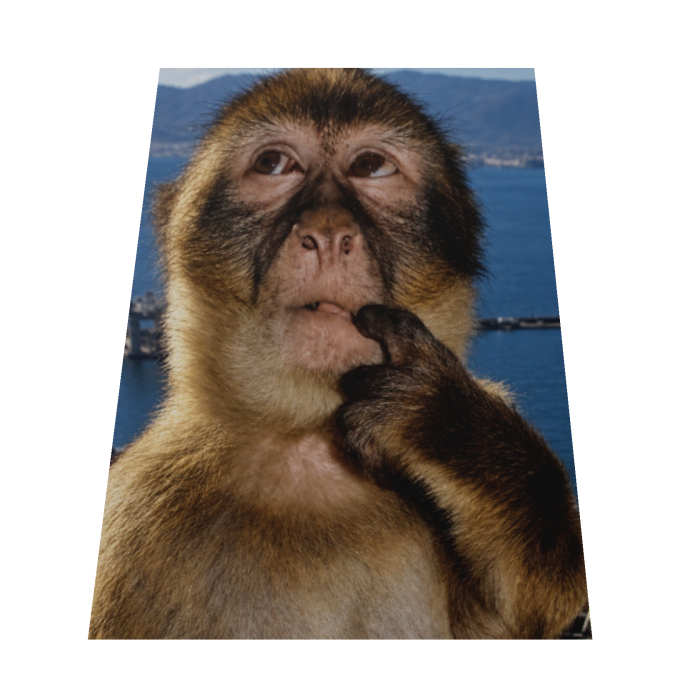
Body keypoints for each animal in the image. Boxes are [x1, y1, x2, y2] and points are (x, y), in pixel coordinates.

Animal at [91, 67, 587, 640]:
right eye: (273, 163)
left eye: (371, 167)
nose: (327, 233)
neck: (309, 447)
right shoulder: (131, 519)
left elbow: (537, 602)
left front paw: (441, 422)